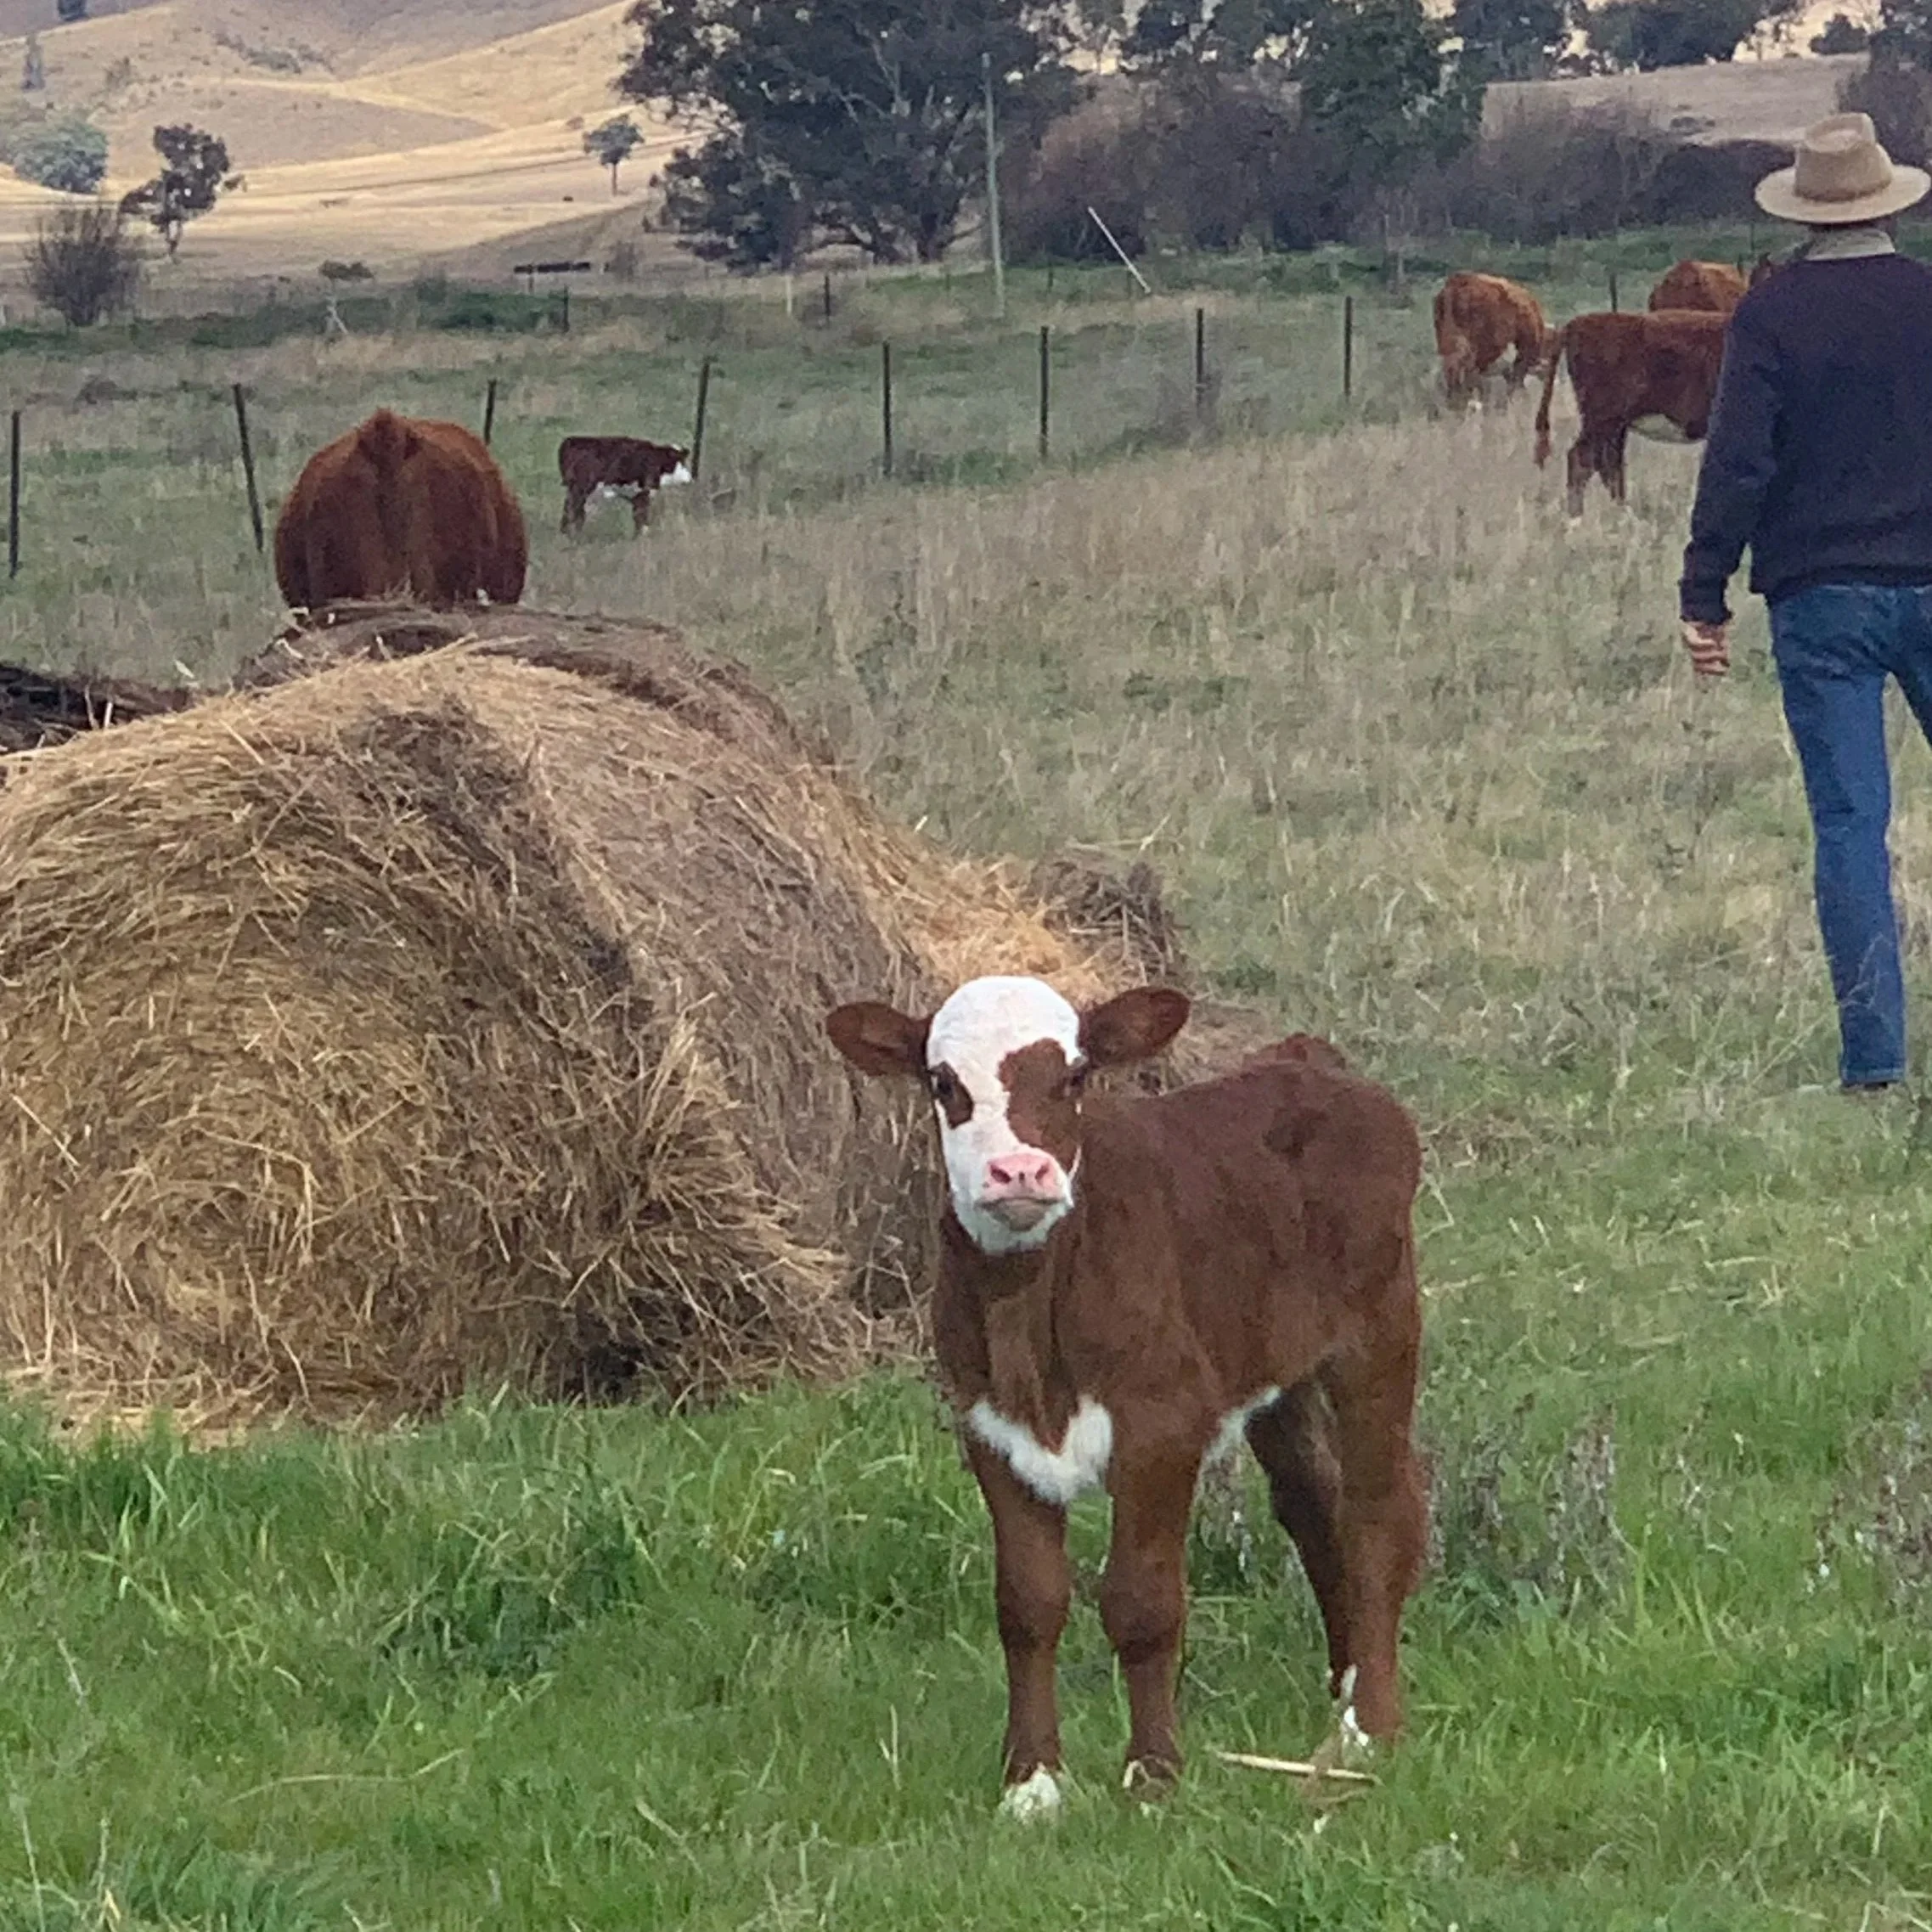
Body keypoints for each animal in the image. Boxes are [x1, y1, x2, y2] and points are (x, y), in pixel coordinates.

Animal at [557, 435, 692, 536]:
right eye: (679, 461)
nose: (689, 478)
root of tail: (571, 440)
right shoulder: (644, 492)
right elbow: (641, 517)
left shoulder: (636, 495)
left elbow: (637, 517)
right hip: (581, 489)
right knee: (573, 510)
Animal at [824, 975, 1428, 1815]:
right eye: (943, 1083)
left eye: (1074, 1075)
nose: (1019, 1171)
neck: (1032, 1318)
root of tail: (1306, 1060)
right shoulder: (989, 1430)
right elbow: (1028, 1603)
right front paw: (1032, 1783)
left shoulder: (1161, 1424)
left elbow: (1141, 1603)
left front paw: (1153, 1774)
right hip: (1279, 1373)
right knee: (1314, 1502)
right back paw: (1341, 1683)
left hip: (1379, 1332)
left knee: (1378, 1515)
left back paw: (1368, 1724)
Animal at [1433, 271, 1553, 410]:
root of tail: (1456, 283)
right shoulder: (1522, 353)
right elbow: (1515, 380)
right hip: (1476, 348)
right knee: (1467, 373)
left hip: (1449, 343)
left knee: (1452, 372)